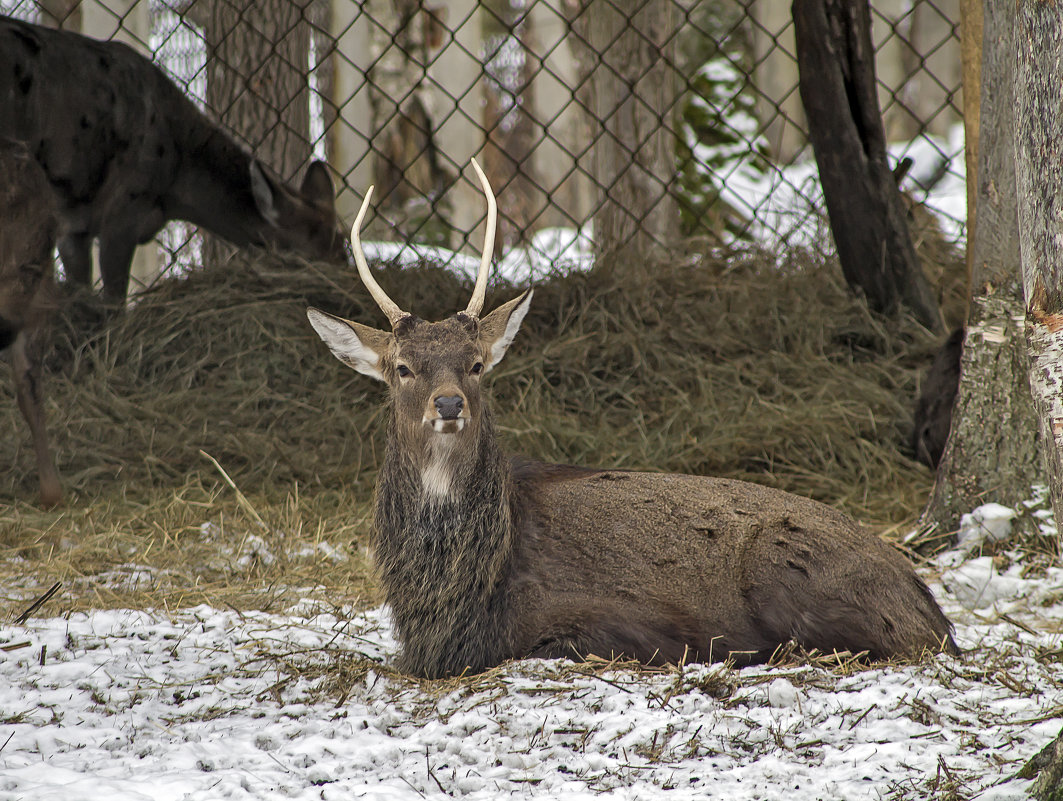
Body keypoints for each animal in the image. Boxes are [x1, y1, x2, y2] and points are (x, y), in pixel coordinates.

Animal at [1, 16, 344, 301]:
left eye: (342, 247)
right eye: (306, 257)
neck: (175, 184)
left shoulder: (73, 223)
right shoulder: (124, 206)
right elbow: (114, 305)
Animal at [306, 160, 956, 675]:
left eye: (476, 364)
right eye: (402, 368)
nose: (448, 403)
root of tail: (933, 611)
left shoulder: (614, 623)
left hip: (789, 572)